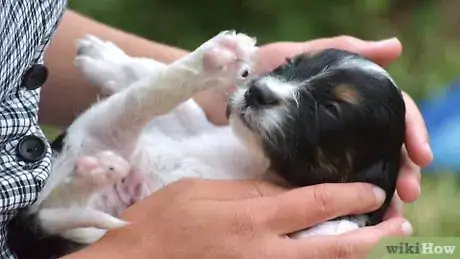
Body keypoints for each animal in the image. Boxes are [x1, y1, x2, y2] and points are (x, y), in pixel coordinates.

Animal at [6, 30, 402, 258]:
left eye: (332, 109)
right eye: (288, 65)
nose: (257, 91)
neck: (253, 160)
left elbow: (340, 225)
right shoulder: (194, 126)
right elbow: (157, 82)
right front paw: (107, 59)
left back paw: (97, 172)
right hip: (98, 133)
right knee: (142, 99)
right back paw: (215, 58)